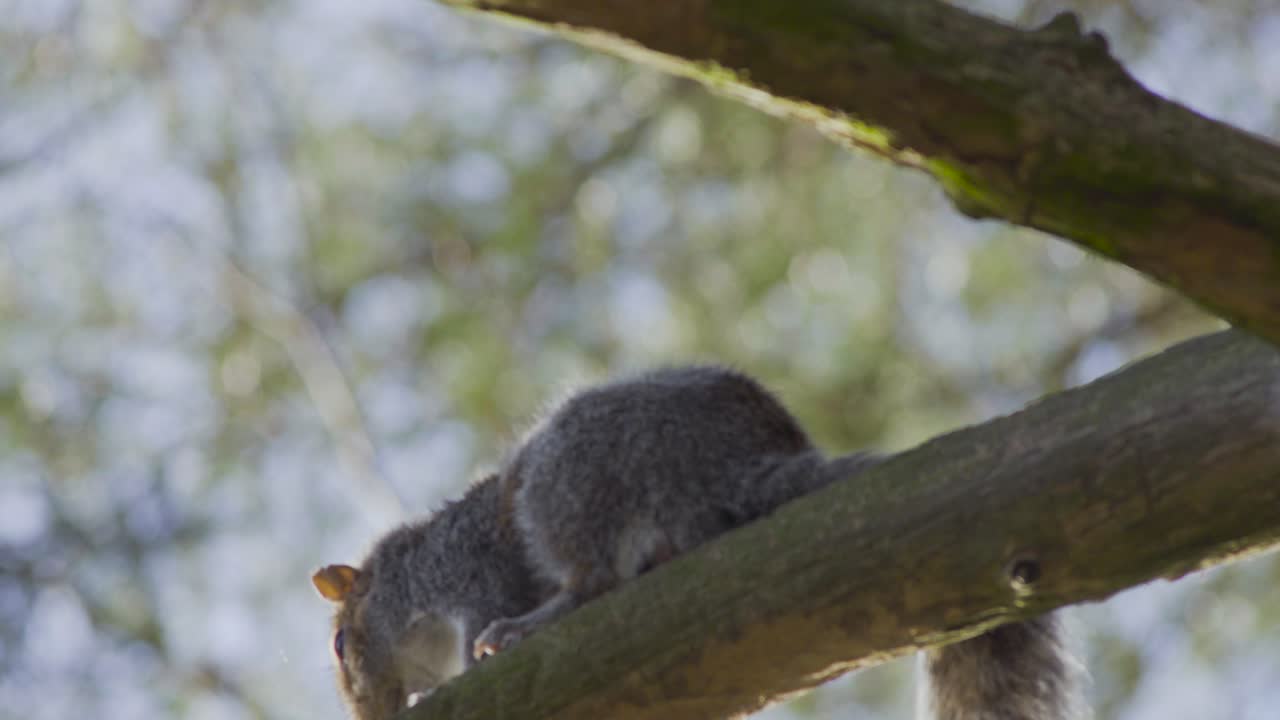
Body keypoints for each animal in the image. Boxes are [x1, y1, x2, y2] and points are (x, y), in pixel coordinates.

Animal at [312, 366, 1084, 720]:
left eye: (342, 644)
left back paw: (533, 623)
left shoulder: (471, 575)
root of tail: (733, 462)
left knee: (592, 577)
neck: (411, 575)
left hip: (567, 485)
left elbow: (483, 613)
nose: (365, 713)